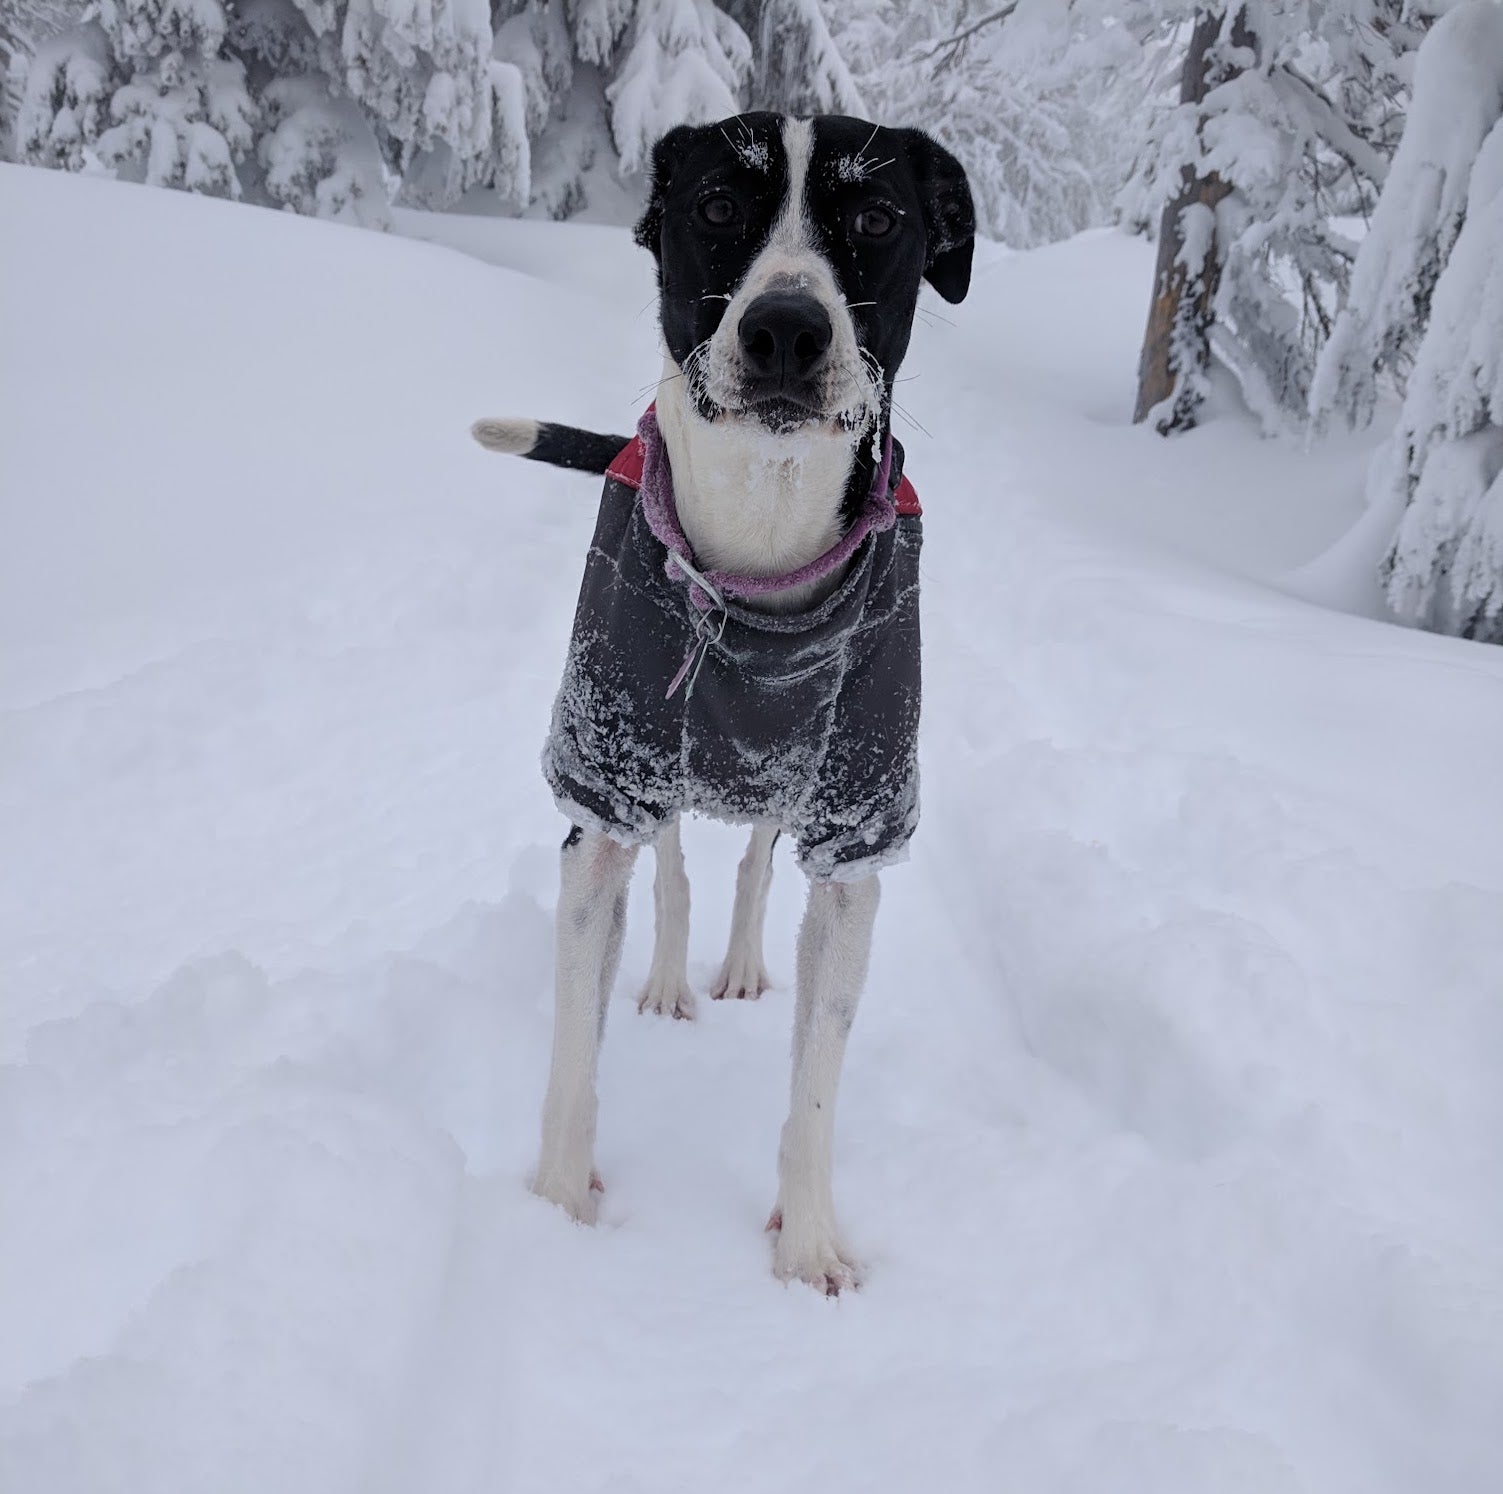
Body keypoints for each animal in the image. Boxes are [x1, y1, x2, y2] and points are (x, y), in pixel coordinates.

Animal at [474, 110, 979, 1286]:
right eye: (714, 206)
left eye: (876, 218)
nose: (786, 328)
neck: (761, 534)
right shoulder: (603, 793)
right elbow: (573, 1054)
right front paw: (556, 1212)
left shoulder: (855, 834)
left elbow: (816, 1084)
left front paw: (809, 1244)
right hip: (651, 762)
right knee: (673, 867)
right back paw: (667, 978)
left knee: (750, 857)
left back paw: (743, 962)